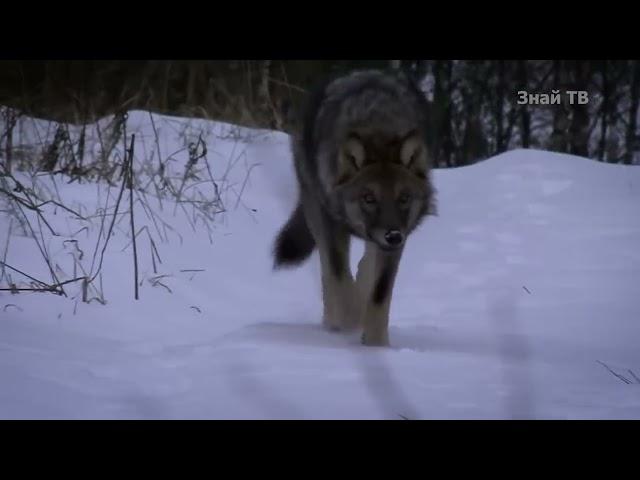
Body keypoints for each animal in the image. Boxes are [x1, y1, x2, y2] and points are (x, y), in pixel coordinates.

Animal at [270, 68, 436, 344]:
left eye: (404, 198)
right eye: (368, 198)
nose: (393, 236)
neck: (378, 126)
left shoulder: (397, 241)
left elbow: (379, 292)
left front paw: (376, 344)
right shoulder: (331, 223)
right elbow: (339, 277)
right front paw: (349, 323)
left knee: (363, 265)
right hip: (314, 208)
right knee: (328, 274)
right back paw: (332, 323)